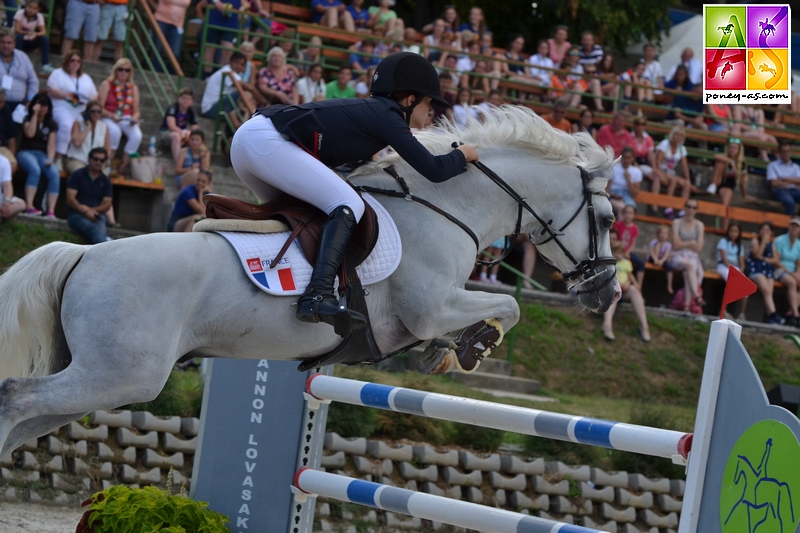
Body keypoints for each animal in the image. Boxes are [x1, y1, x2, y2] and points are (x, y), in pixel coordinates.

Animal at [0, 105, 620, 458]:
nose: (608, 293)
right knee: (14, 400)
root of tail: (82, 254)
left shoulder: (423, 316)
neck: (446, 204)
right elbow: (507, 308)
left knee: (23, 421)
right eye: (611, 220)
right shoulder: (431, 305)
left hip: (94, 378)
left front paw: (442, 354)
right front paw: (474, 346)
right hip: (122, 376)